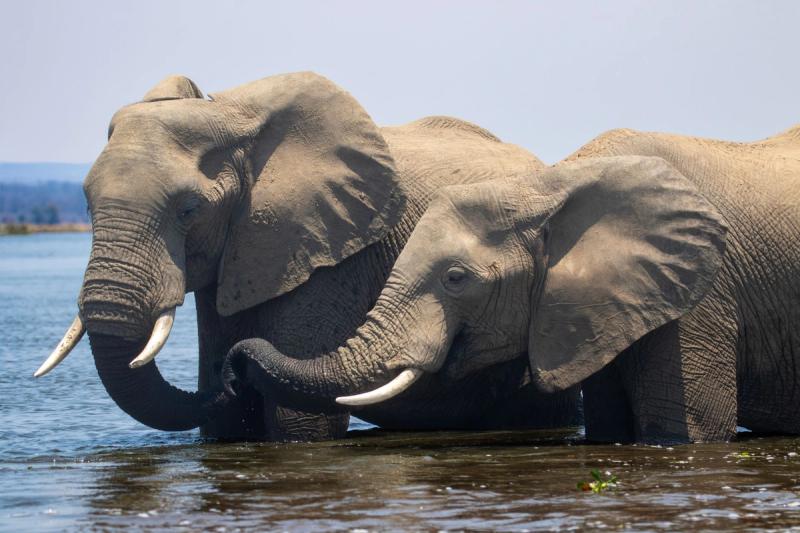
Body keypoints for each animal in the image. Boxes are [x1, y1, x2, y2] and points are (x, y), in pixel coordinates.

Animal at [34, 71, 581, 440]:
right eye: (86, 203)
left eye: (189, 210)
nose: (232, 376)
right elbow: (226, 426)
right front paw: (226, 391)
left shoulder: (329, 254)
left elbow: (300, 421)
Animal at [224, 124, 800, 444]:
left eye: (456, 279)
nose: (233, 366)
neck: (549, 185)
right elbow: (611, 426)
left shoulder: (702, 295)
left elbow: (685, 430)